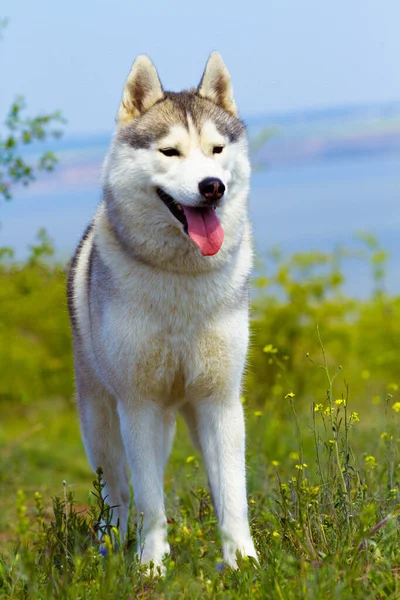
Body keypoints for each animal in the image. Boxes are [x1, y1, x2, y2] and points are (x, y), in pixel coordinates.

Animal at [67, 50, 258, 568]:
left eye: (216, 150)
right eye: (169, 152)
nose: (212, 186)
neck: (179, 277)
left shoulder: (220, 400)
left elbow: (233, 496)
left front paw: (245, 562)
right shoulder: (139, 405)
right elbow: (149, 501)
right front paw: (151, 564)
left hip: (185, 417)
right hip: (102, 424)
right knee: (116, 495)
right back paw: (109, 549)